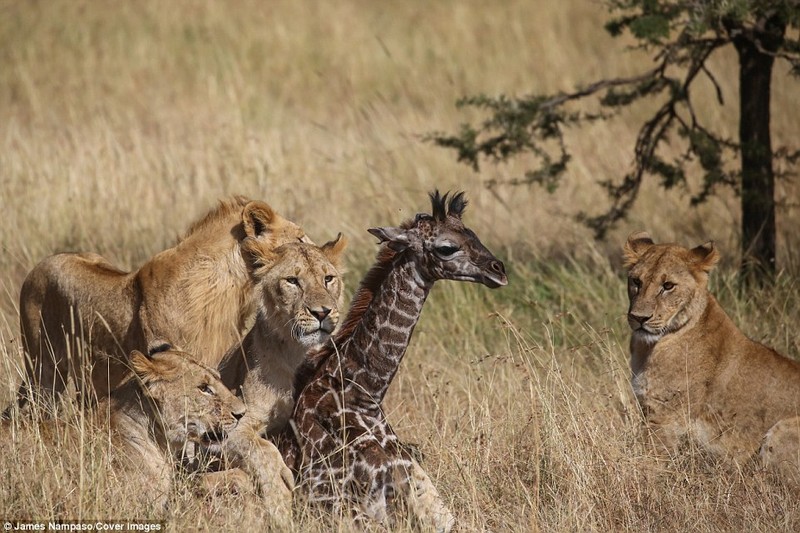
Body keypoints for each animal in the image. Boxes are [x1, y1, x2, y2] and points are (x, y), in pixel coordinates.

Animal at [624, 231, 800, 476]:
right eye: (636, 281)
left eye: (668, 286)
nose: (639, 318)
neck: (649, 347)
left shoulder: (665, 420)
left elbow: (648, 464)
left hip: (782, 429)